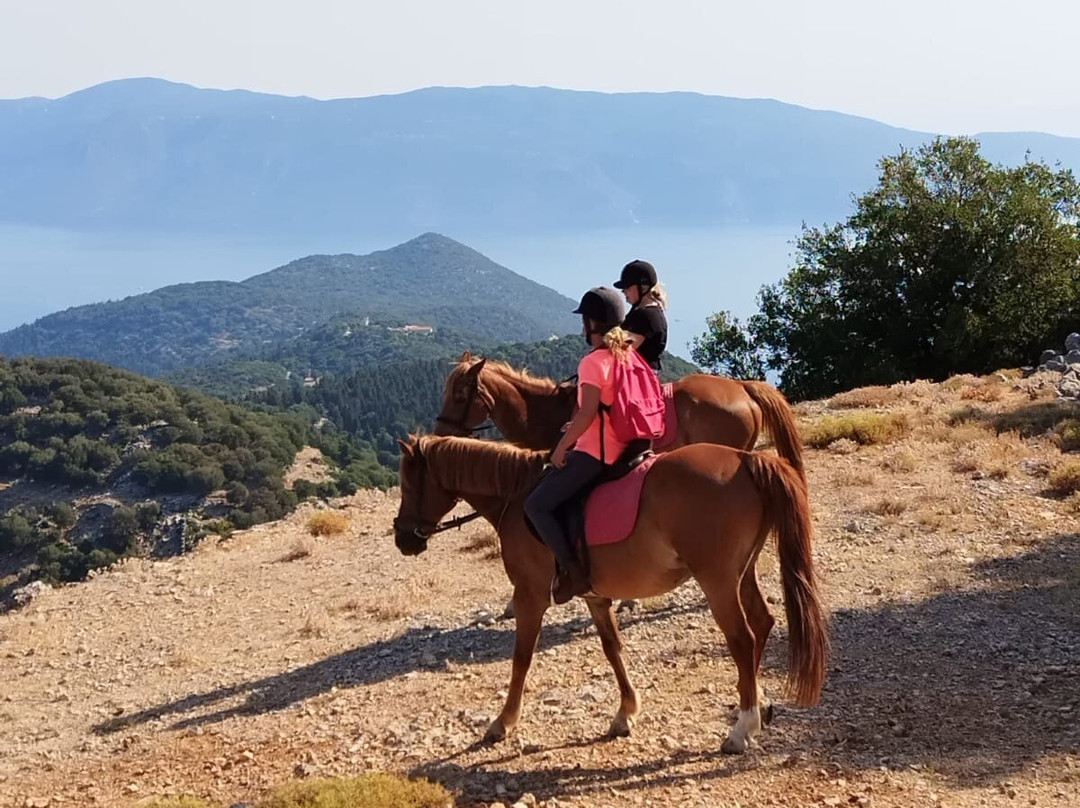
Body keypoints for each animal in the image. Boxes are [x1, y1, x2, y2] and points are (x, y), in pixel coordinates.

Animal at [392, 434, 828, 754]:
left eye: (409, 482)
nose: (402, 539)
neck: (516, 496)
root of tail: (743, 457)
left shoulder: (529, 596)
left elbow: (521, 659)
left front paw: (503, 722)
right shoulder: (596, 597)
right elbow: (613, 649)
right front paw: (625, 713)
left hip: (717, 579)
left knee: (742, 638)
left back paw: (741, 728)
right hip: (742, 573)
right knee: (763, 623)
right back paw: (757, 707)